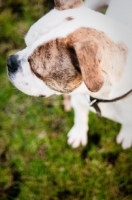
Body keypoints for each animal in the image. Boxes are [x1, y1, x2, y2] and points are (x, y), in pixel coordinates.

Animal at [6, 0, 132, 149]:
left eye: (37, 72)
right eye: (26, 43)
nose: (10, 62)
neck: (104, 96)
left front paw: (127, 135)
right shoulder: (79, 99)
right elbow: (80, 117)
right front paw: (78, 134)